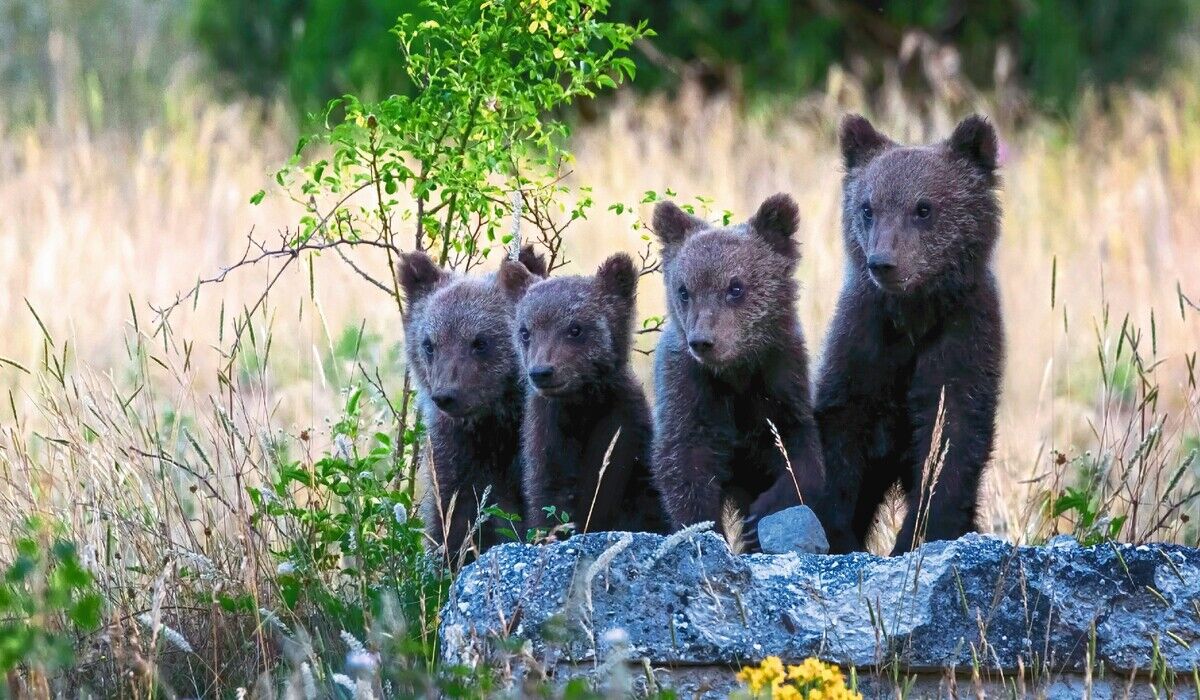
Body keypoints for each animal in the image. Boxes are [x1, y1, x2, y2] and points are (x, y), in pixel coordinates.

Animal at [499, 252, 668, 535]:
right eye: (525, 332)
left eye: (575, 328)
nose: (541, 372)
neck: (582, 405)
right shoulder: (550, 438)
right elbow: (551, 500)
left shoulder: (626, 429)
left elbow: (645, 502)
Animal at [649, 193, 825, 547]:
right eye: (684, 290)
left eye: (736, 287)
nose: (703, 341)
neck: (736, 372)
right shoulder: (689, 391)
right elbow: (684, 463)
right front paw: (704, 529)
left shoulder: (781, 379)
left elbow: (801, 453)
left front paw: (761, 513)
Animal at [816, 114, 1004, 556]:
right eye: (868, 207)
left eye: (923, 208)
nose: (883, 262)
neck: (913, 315)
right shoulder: (866, 341)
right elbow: (842, 431)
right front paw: (838, 533)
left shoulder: (962, 337)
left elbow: (950, 437)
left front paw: (916, 535)